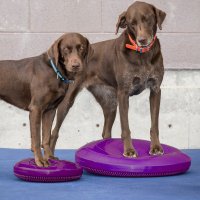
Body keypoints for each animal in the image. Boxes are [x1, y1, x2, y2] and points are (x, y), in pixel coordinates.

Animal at [0, 33, 91, 167]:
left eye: (81, 48)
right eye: (65, 49)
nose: (76, 66)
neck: (55, 71)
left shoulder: (50, 110)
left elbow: (46, 137)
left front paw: (49, 157)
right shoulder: (36, 109)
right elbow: (37, 139)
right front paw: (40, 160)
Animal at [50, 1, 166, 158]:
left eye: (148, 18)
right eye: (131, 24)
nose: (142, 40)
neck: (143, 55)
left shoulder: (155, 90)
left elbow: (155, 125)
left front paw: (156, 147)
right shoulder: (123, 94)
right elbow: (125, 128)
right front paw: (129, 150)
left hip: (110, 104)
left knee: (106, 132)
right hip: (67, 101)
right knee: (54, 132)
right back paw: (49, 157)